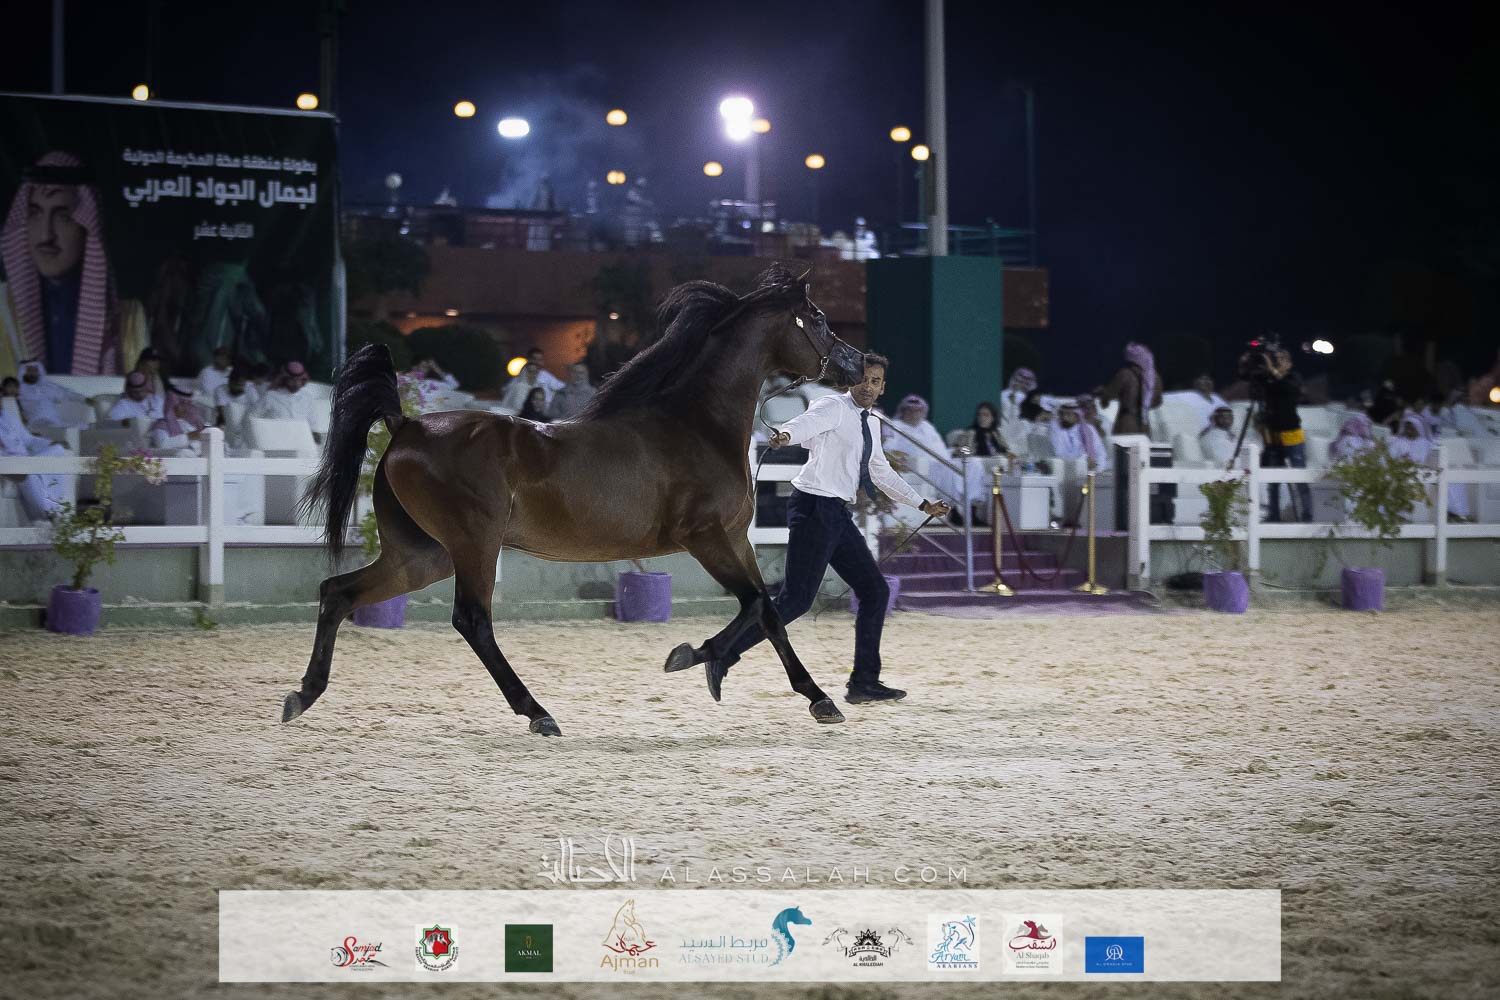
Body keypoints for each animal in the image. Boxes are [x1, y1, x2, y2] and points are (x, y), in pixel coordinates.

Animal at [283, 264, 866, 736]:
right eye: (816, 318)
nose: (859, 363)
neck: (695, 424)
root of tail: (404, 425)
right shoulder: (706, 539)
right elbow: (761, 606)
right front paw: (716, 665)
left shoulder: (736, 539)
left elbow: (766, 609)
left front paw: (731, 670)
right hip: (473, 544)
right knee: (471, 620)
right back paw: (538, 713)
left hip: (422, 553)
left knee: (338, 592)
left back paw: (302, 695)